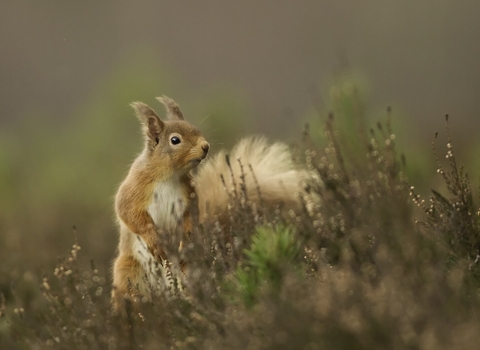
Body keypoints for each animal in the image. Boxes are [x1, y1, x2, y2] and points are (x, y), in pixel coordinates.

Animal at [111, 95, 304, 308]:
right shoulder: (134, 189)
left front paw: (187, 241)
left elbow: (191, 216)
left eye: (196, 129)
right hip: (128, 271)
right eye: (175, 140)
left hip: (192, 271)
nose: (205, 146)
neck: (169, 176)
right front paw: (155, 241)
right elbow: (129, 213)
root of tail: (168, 293)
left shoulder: (189, 194)